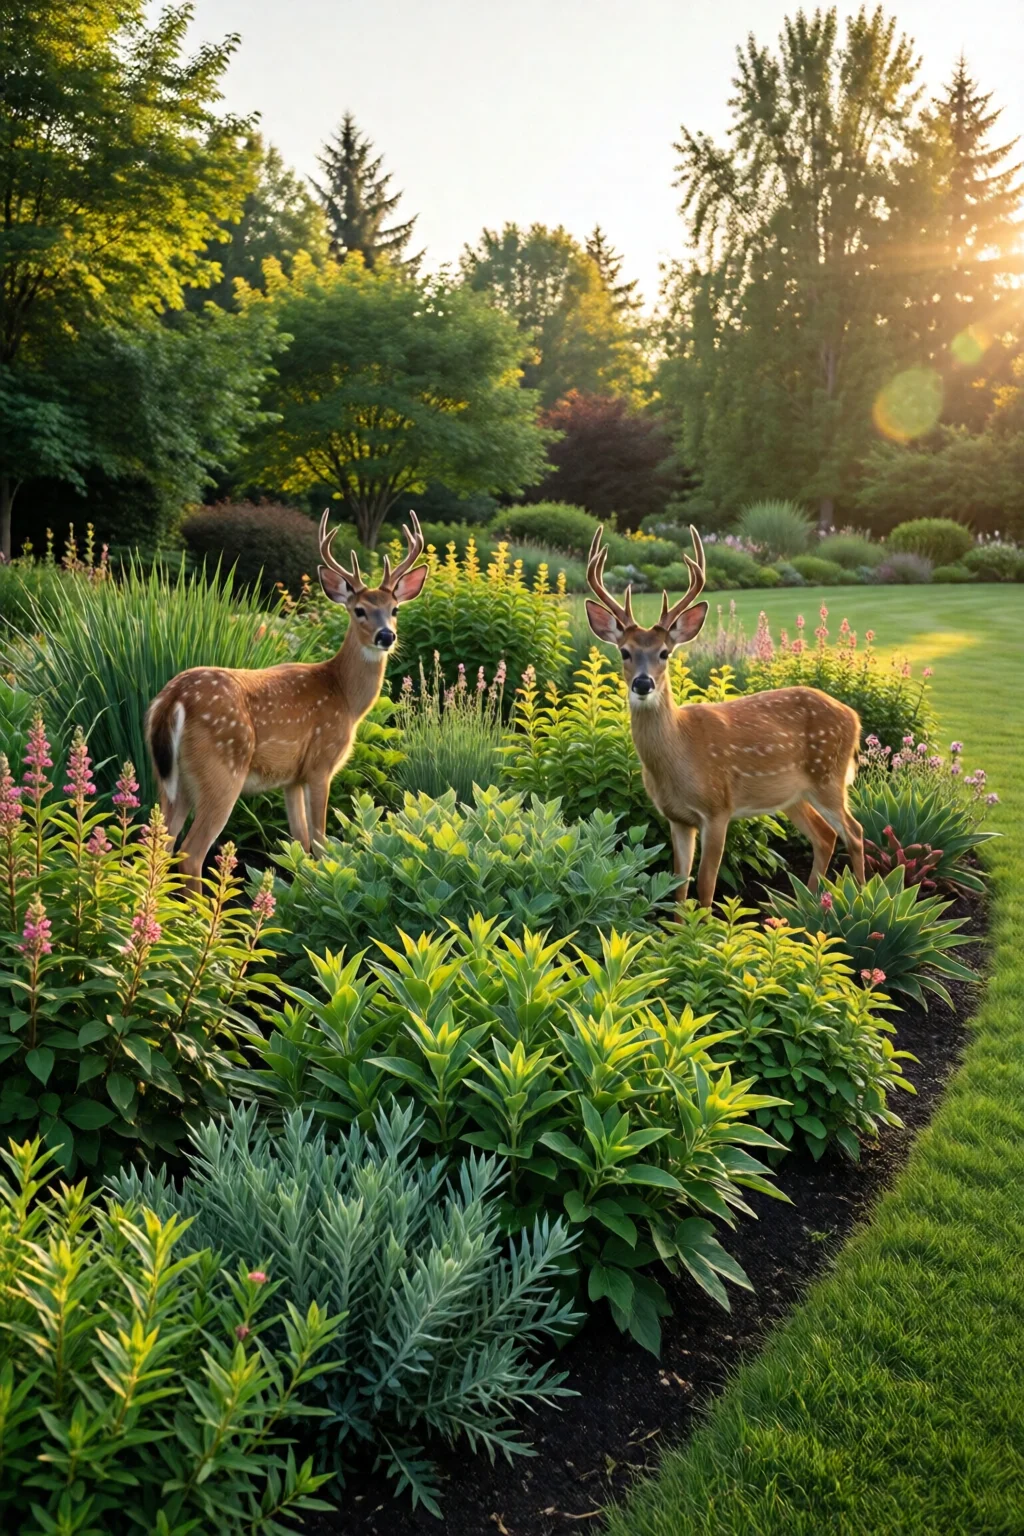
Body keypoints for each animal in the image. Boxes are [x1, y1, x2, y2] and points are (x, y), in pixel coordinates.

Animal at [145, 509, 428, 891]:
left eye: (395, 609)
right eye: (359, 610)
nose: (386, 635)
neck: (345, 697)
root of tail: (173, 698)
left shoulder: (292, 778)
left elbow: (300, 842)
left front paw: (304, 889)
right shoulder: (321, 762)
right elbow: (320, 841)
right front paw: (324, 884)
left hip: (170, 779)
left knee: (160, 844)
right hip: (222, 769)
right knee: (190, 852)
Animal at [584, 524, 865, 909]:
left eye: (664, 653)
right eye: (625, 652)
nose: (643, 683)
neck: (679, 756)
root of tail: (853, 716)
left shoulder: (718, 809)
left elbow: (705, 885)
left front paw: (702, 926)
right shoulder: (677, 817)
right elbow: (679, 885)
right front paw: (678, 924)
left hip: (829, 776)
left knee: (856, 832)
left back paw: (865, 898)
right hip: (793, 794)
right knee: (824, 836)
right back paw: (804, 906)